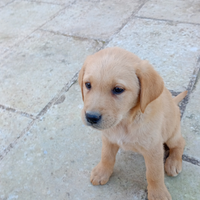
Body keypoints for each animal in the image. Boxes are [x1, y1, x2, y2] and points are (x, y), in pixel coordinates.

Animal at [78, 47, 188, 200]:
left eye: (118, 89)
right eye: (88, 85)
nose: (91, 117)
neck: (124, 122)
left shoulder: (153, 148)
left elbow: (154, 174)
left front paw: (158, 193)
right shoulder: (108, 138)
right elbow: (106, 156)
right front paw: (101, 172)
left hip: (171, 133)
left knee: (180, 143)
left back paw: (173, 162)